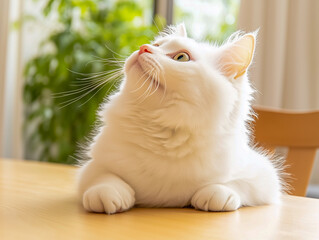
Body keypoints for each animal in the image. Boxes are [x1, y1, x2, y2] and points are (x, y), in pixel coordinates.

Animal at [77, 23, 284, 213]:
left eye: (181, 57)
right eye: (157, 44)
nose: (143, 47)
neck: (164, 132)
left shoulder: (266, 175)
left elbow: (234, 184)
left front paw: (215, 195)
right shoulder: (93, 165)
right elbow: (104, 177)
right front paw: (109, 194)